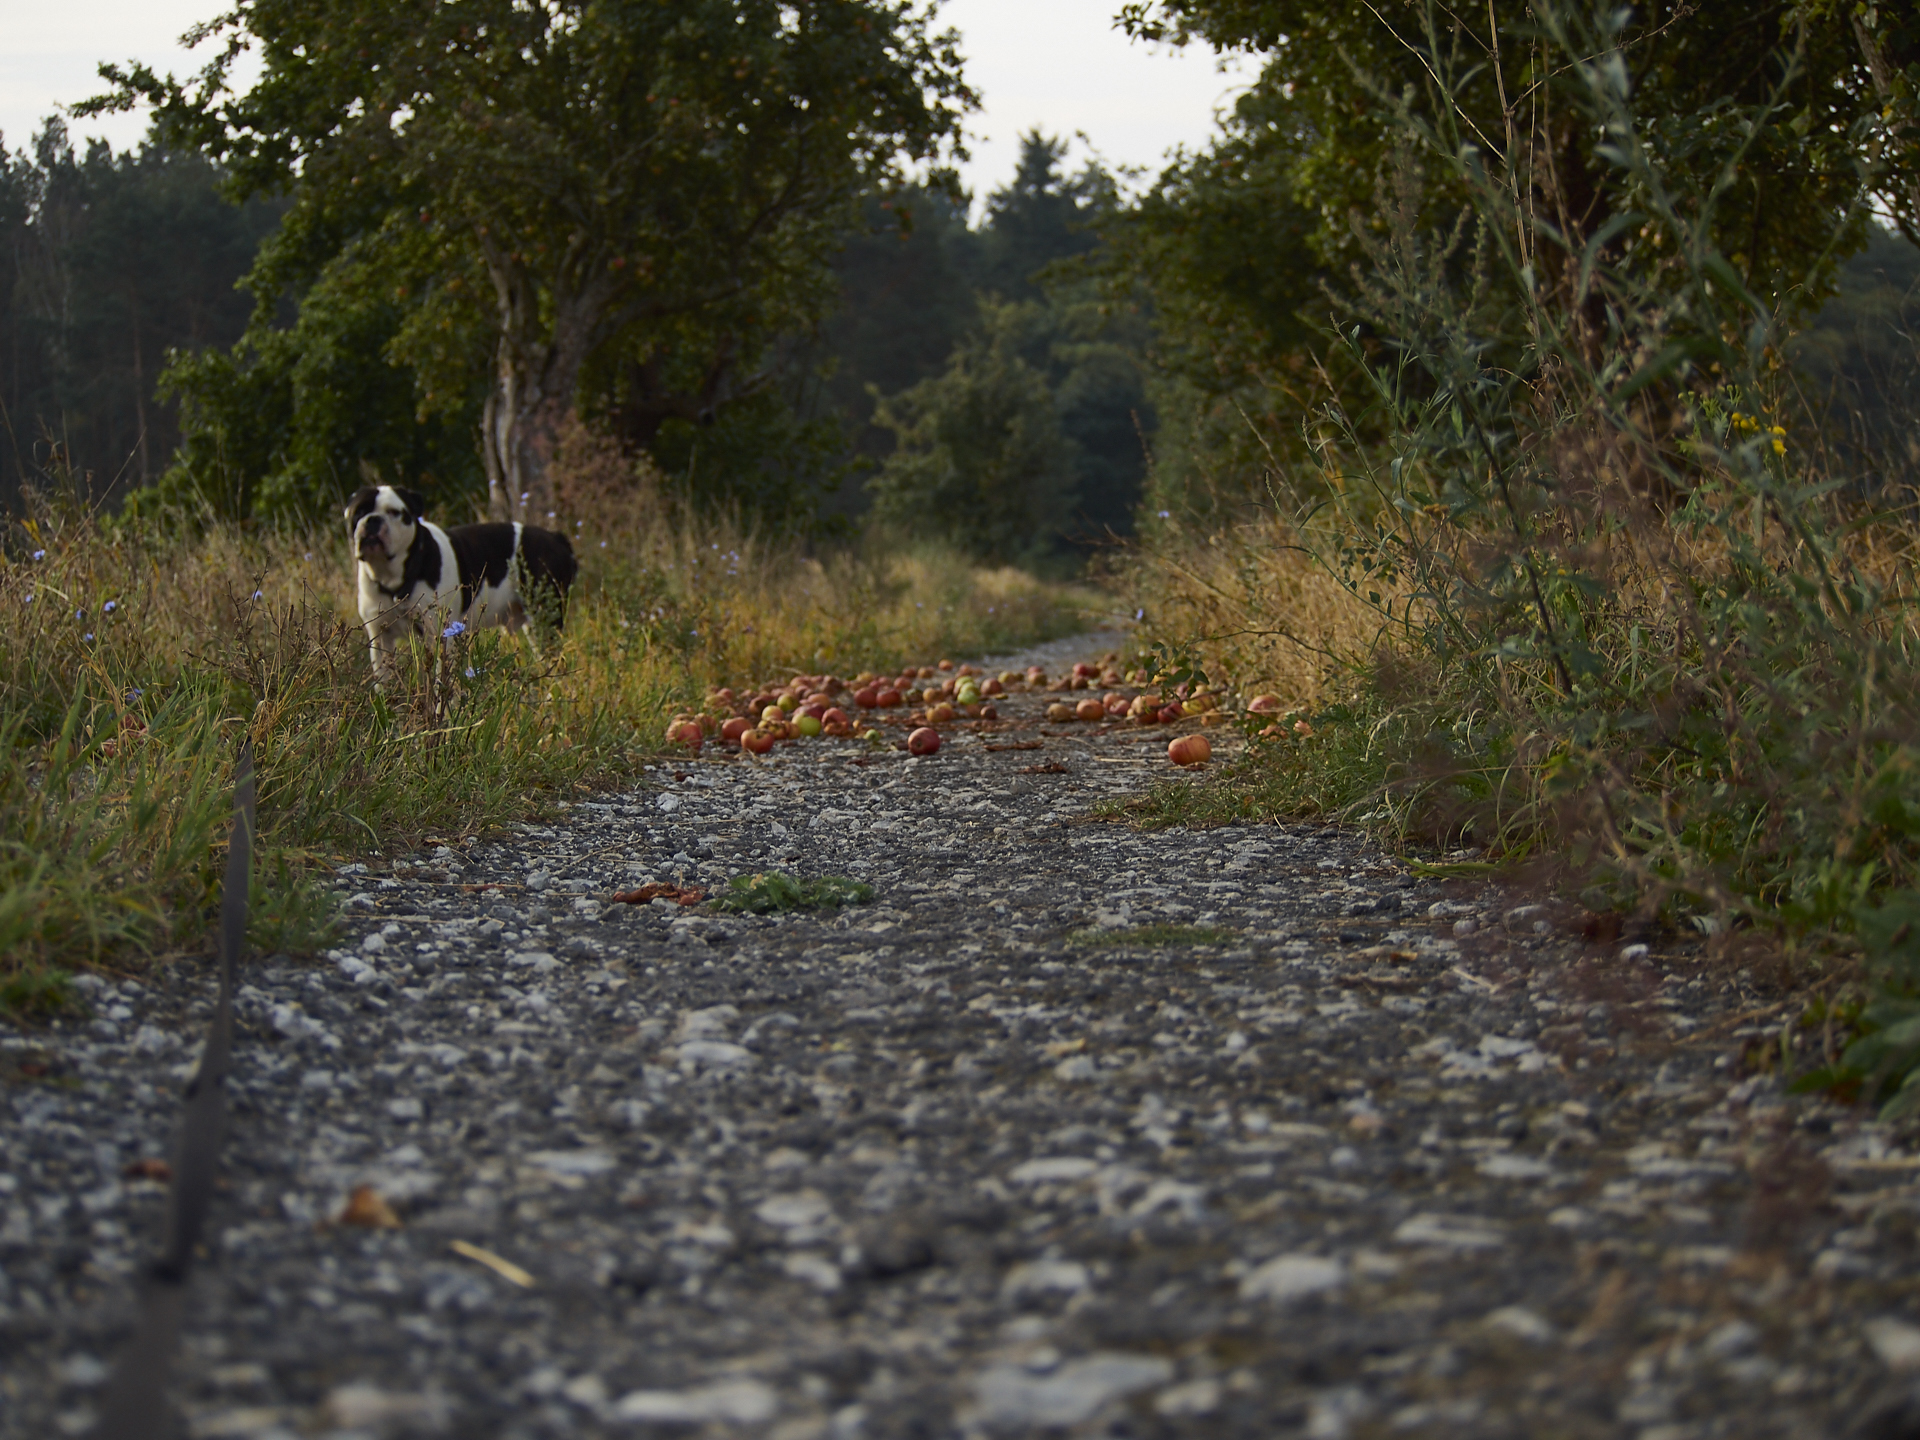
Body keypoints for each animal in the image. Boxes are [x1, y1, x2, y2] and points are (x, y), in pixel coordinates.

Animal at [343, 485, 576, 687]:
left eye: (394, 512)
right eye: (358, 511)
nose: (373, 520)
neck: (394, 577)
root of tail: (557, 538)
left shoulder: (440, 636)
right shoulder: (380, 639)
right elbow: (383, 684)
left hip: (545, 620)